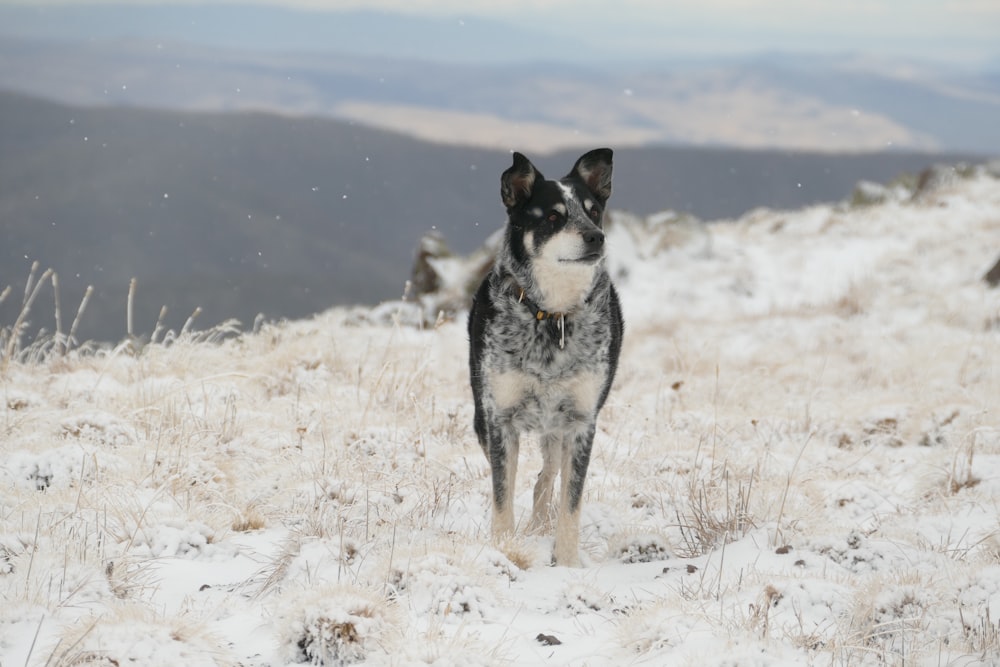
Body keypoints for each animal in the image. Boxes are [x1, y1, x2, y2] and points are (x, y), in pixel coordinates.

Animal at [466, 149, 620, 568]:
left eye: (593, 211)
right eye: (552, 217)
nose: (596, 236)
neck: (552, 315)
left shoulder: (582, 422)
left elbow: (571, 501)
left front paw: (565, 562)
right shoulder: (499, 418)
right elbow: (502, 493)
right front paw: (504, 549)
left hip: (558, 427)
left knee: (547, 477)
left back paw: (540, 524)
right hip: (483, 415)